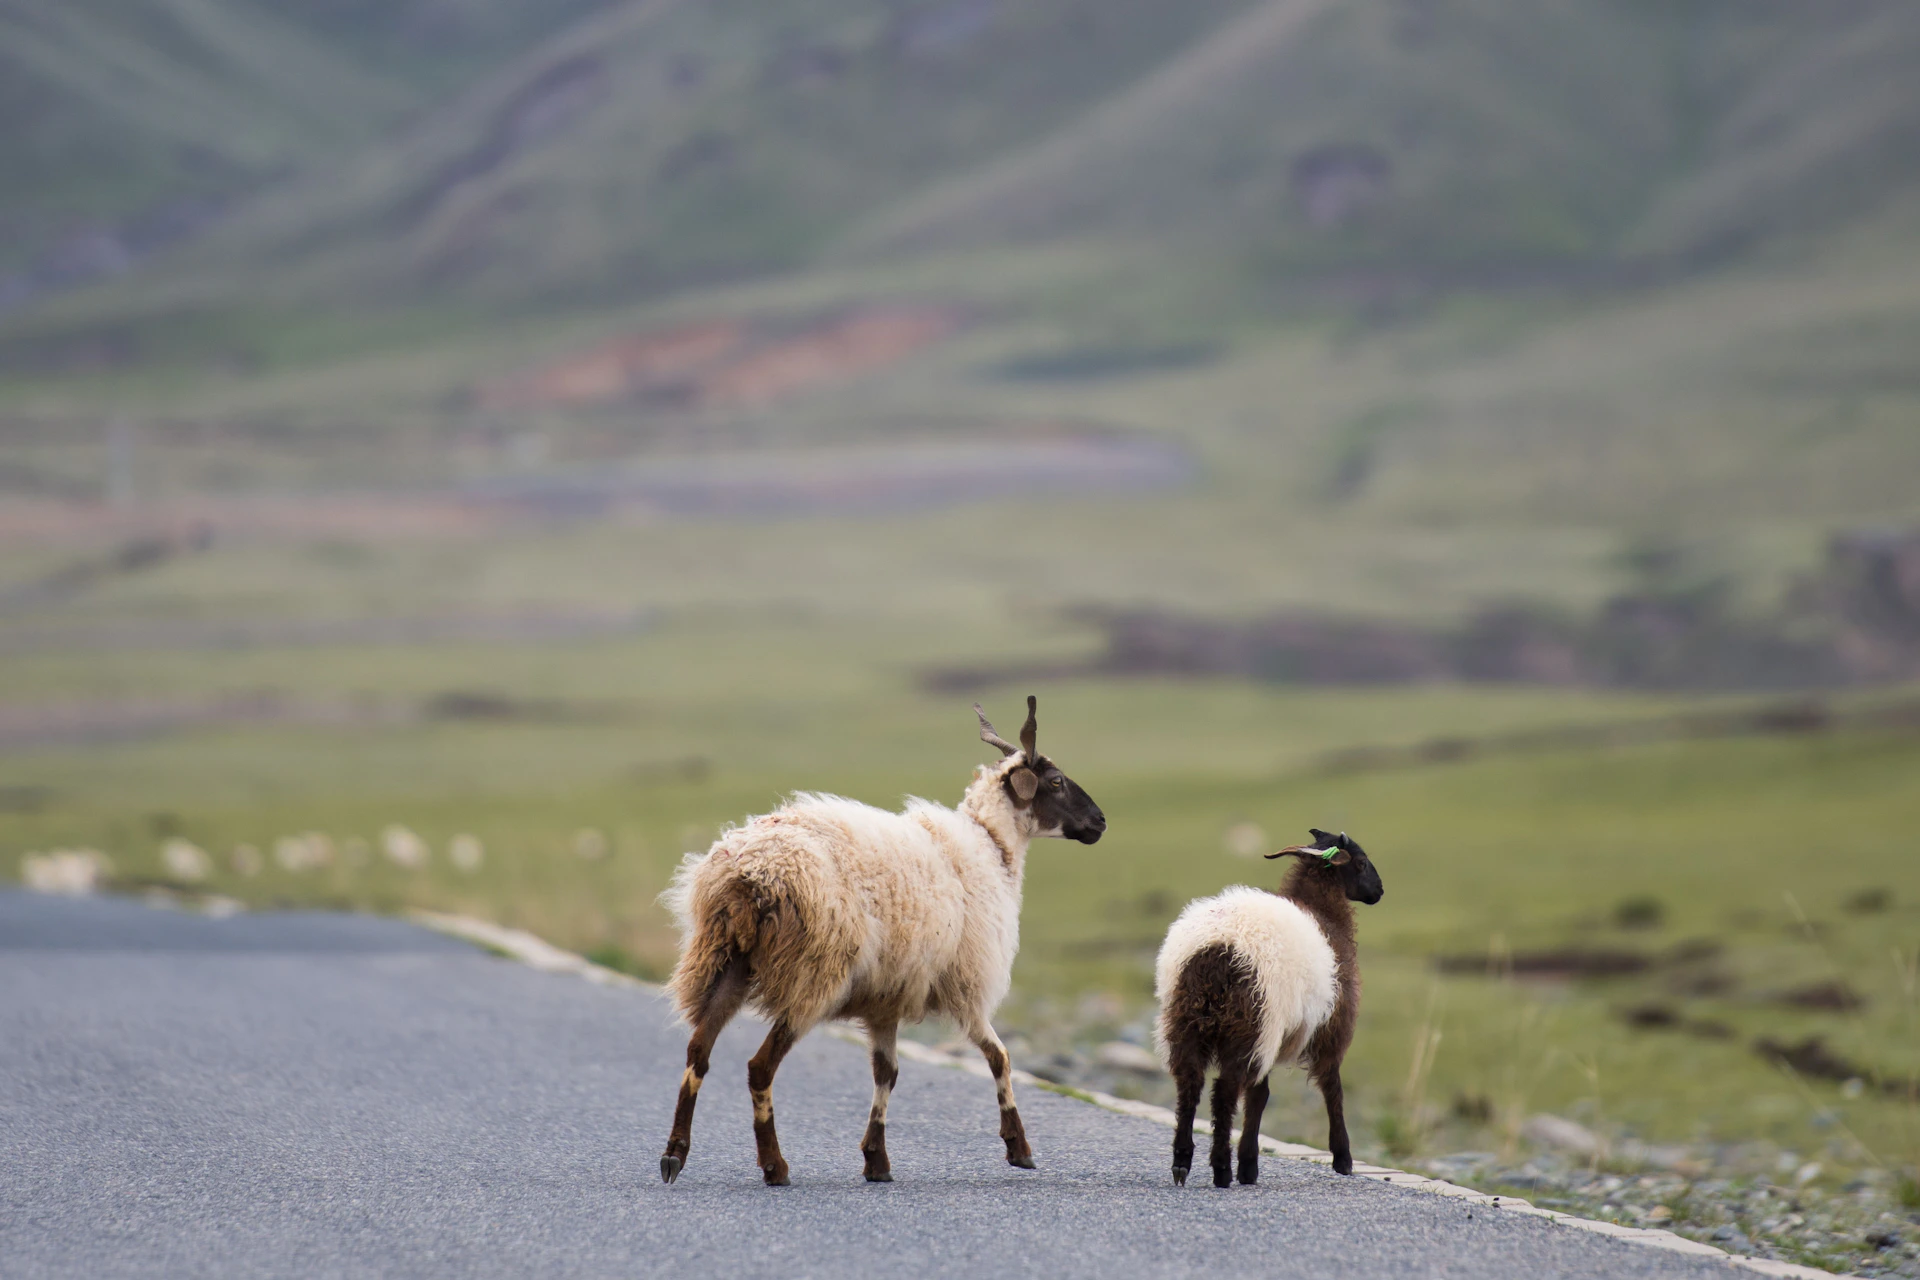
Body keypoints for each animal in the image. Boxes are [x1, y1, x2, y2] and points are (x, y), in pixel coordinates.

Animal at [658, 696, 1106, 1186]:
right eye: (1057, 781)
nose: (1100, 822)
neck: (993, 847)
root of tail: (750, 872)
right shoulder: (967, 985)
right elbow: (999, 1058)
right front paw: (1018, 1148)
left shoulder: (887, 997)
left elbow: (886, 1073)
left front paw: (876, 1159)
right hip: (810, 973)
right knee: (759, 1068)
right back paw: (775, 1165)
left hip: (725, 960)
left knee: (698, 1052)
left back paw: (674, 1155)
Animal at [1154, 828, 1383, 1187]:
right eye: (1360, 862)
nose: (1379, 890)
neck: (1326, 913)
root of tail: (1217, 950)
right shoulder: (1331, 1027)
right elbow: (1332, 1089)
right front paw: (1343, 1158)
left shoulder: (1274, 1037)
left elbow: (1258, 1096)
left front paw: (1249, 1163)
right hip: (1249, 1024)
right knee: (1223, 1092)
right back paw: (1221, 1168)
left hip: (1187, 1020)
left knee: (1189, 1085)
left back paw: (1182, 1161)